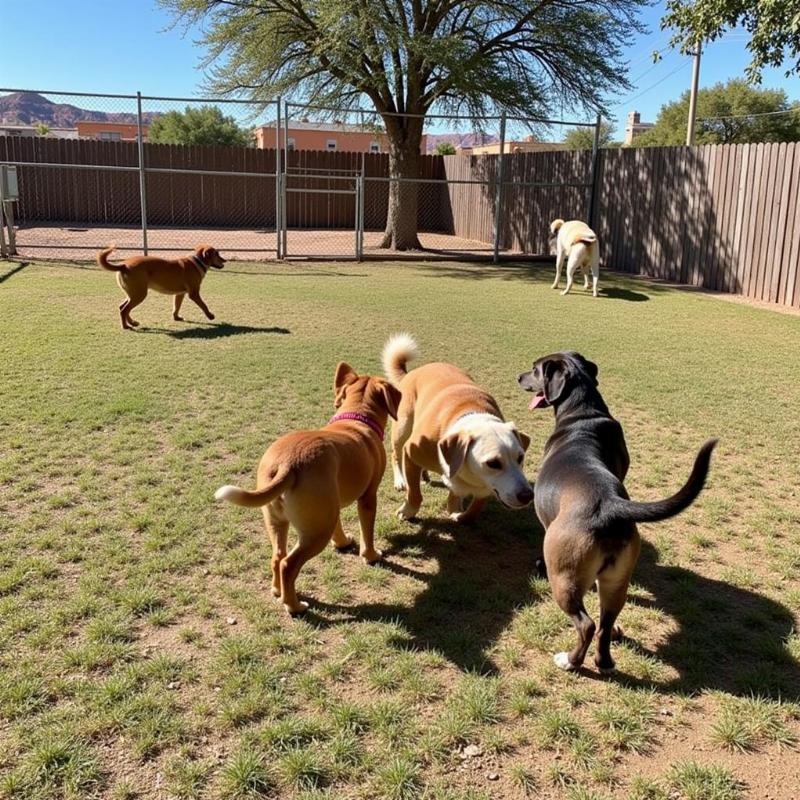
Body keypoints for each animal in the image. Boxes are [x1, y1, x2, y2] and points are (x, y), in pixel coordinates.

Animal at [99, 244, 227, 332]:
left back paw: (133, 323)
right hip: (139, 294)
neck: (198, 261)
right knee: (124, 310)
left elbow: (176, 307)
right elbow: (204, 305)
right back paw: (126, 326)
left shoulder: (180, 294)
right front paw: (210, 316)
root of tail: (123, 265)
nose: (225, 260)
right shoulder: (194, 294)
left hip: (133, 293)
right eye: (217, 253)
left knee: (123, 307)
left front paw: (176, 317)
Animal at [212, 366, 400, 616]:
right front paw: (371, 556)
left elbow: (339, 527)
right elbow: (367, 532)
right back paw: (295, 606)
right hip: (316, 532)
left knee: (277, 557)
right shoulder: (368, 498)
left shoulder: (332, 507)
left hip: (278, 520)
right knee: (288, 565)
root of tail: (288, 463)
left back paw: (278, 591)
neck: (356, 416)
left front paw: (342, 543)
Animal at [384, 332, 536, 524]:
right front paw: (408, 511)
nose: (527, 495)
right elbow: (415, 493)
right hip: (403, 427)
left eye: (521, 457)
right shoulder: (411, 451)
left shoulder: (483, 486)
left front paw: (458, 512)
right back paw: (400, 481)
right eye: (493, 463)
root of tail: (411, 372)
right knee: (395, 454)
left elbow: (473, 509)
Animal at [520, 354, 720, 672]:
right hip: (616, 582)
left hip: (564, 579)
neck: (583, 412)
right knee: (604, 625)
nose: (519, 377)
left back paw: (570, 661)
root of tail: (609, 504)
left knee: (587, 625)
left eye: (536, 369)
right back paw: (605, 661)